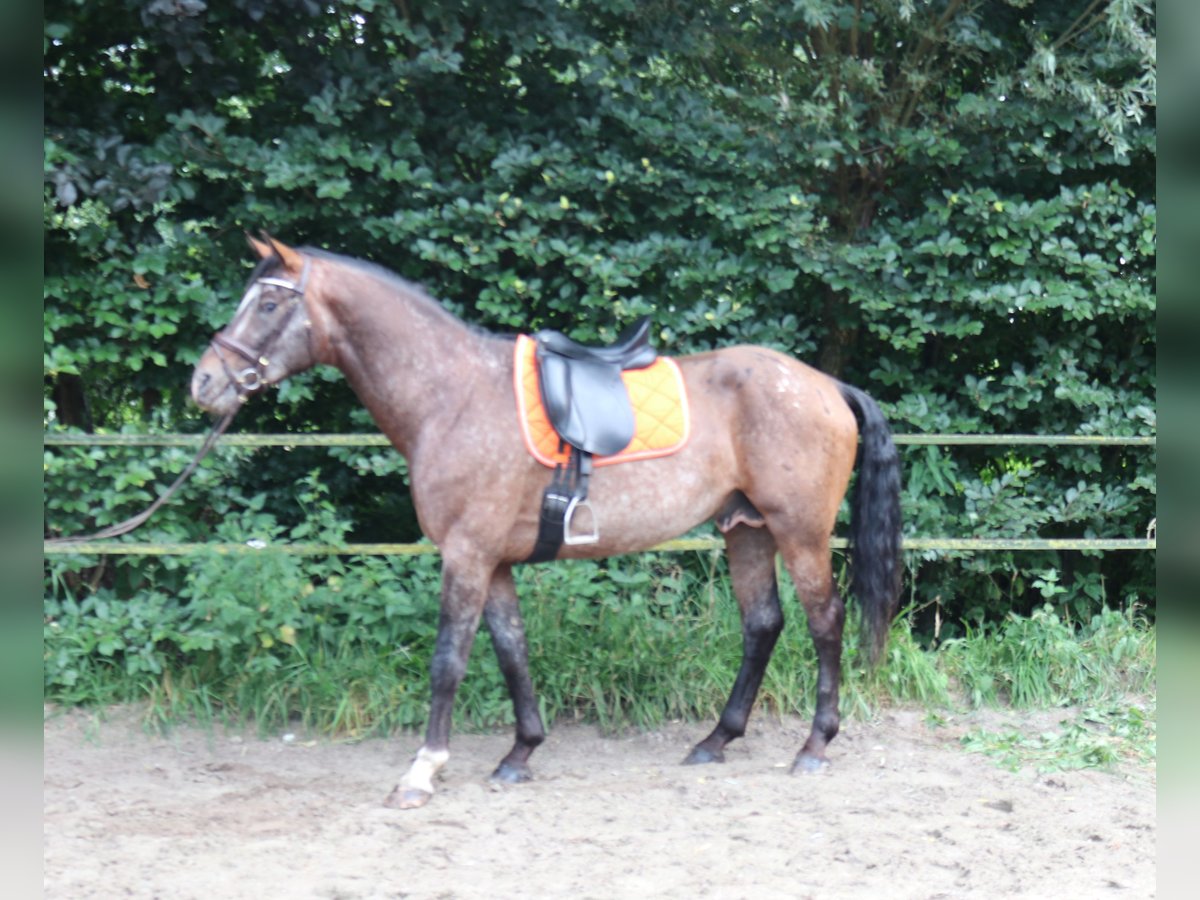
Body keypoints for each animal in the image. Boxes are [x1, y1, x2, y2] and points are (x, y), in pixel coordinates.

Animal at [192, 232, 902, 811]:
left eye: (269, 304)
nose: (204, 383)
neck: (450, 396)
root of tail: (825, 385)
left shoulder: (465, 555)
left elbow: (448, 660)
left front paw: (423, 771)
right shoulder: (494, 561)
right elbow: (511, 649)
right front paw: (520, 752)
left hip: (799, 532)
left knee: (824, 620)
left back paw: (814, 745)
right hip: (746, 530)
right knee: (762, 625)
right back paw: (715, 740)